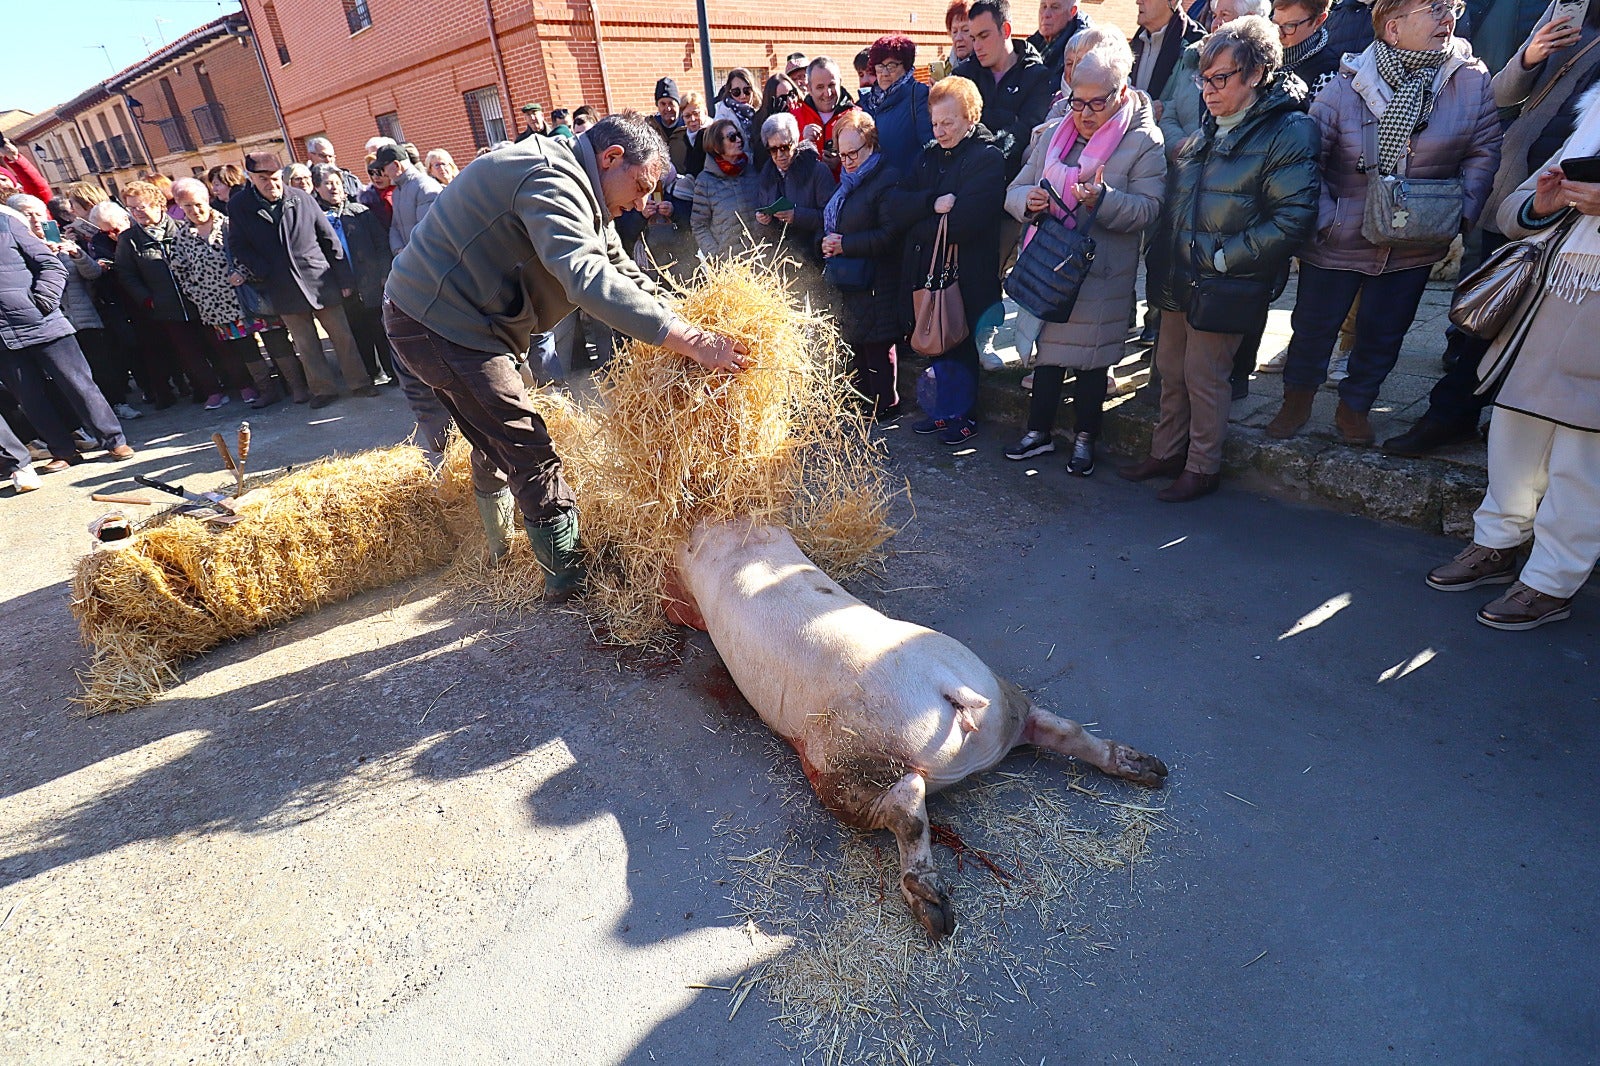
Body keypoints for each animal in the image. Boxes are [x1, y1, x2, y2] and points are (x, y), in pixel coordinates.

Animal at [668, 521, 1171, 941]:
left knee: (903, 805)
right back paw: (1148, 768)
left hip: (842, 761)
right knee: (1060, 726)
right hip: (1002, 696)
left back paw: (934, 915)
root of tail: (950, 691)